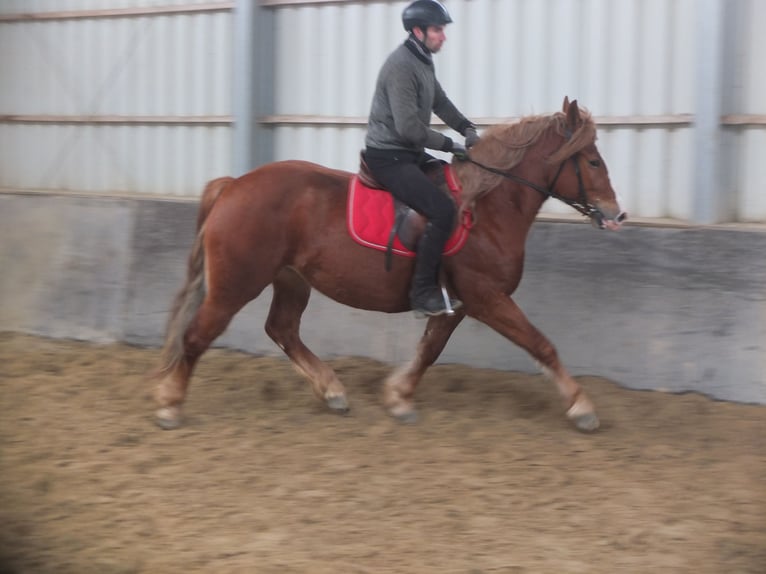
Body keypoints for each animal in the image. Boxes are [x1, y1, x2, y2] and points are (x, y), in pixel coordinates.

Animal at [158, 98, 632, 432]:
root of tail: (234, 185)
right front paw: (581, 407)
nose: (616, 214)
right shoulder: (487, 298)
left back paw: (332, 391)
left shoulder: (457, 304)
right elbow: (541, 345)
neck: (487, 207)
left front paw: (399, 397)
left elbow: (429, 350)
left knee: (282, 330)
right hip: (236, 284)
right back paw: (170, 405)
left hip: (291, 280)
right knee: (198, 335)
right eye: (592, 160)